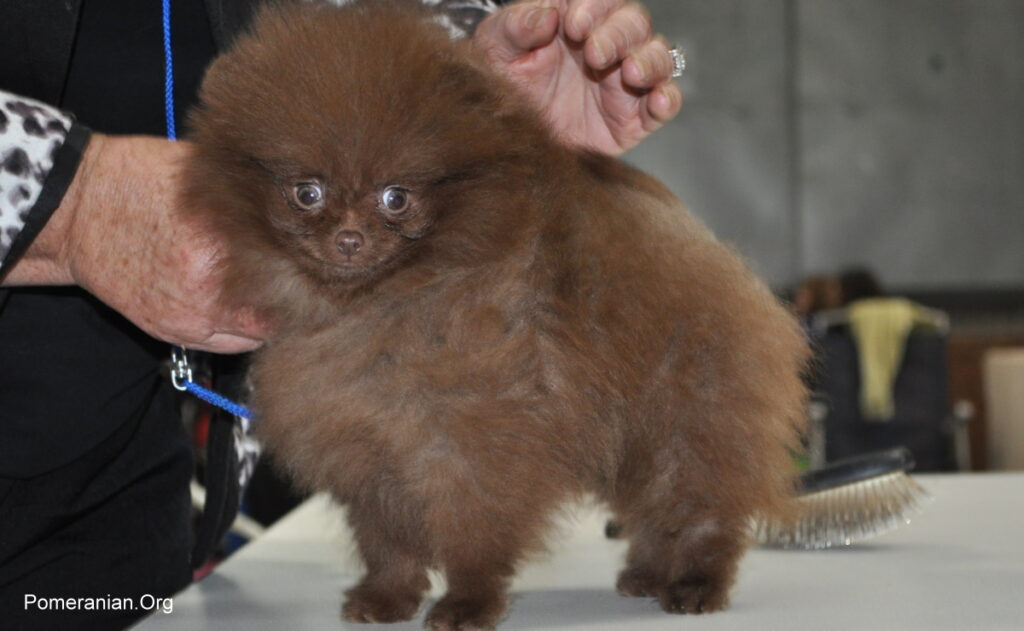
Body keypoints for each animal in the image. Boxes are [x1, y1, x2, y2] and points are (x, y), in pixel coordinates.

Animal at [182, 2, 806, 626]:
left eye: (396, 198)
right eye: (306, 193)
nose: (350, 239)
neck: (380, 306)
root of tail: (705, 247)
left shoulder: (475, 446)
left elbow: (473, 538)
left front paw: (466, 605)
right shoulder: (369, 456)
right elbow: (387, 543)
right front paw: (386, 598)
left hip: (688, 414)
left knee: (700, 505)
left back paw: (696, 583)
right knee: (653, 510)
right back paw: (647, 574)